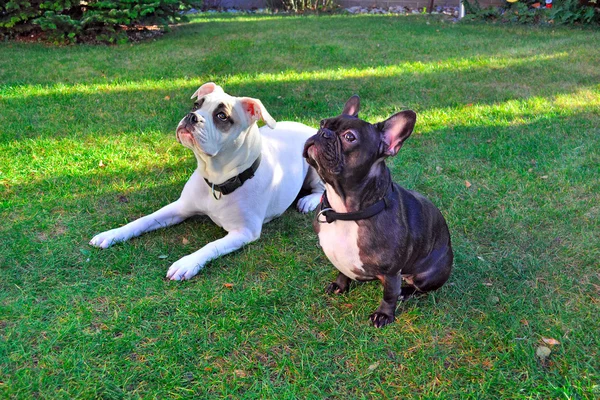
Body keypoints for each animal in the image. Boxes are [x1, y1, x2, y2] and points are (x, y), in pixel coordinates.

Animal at [90, 83, 324, 280]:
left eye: (221, 116)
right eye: (196, 105)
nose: (191, 116)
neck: (217, 179)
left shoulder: (244, 232)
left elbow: (211, 245)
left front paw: (187, 263)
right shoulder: (180, 208)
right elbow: (143, 220)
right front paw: (113, 234)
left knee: (321, 189)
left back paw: (308, 201)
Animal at [302, 97, 452, 328]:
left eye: (349, 137)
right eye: (322, 123)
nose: (323, 133)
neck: (345, 212)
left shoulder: (391, 273)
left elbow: (389, 294)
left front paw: (383, 314)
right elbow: (342, 271)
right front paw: (339, 285)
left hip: (428, 275)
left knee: (418, 288)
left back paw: (405, 291)